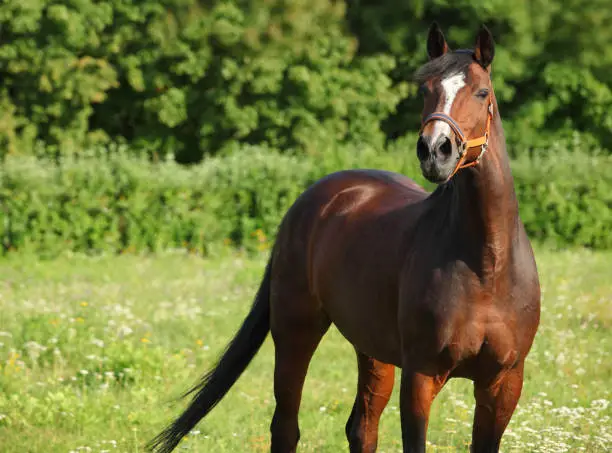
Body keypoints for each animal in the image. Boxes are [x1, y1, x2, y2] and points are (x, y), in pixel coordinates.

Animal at [148, 23, 540, 452]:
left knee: (362, 427)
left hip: (372, 350)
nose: (435, 150)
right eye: (425, 89)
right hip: (295, 331)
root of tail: (313, 198)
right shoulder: (421, 375)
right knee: (286, 426)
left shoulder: (503, 383)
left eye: (482, 92)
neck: (485, 264)